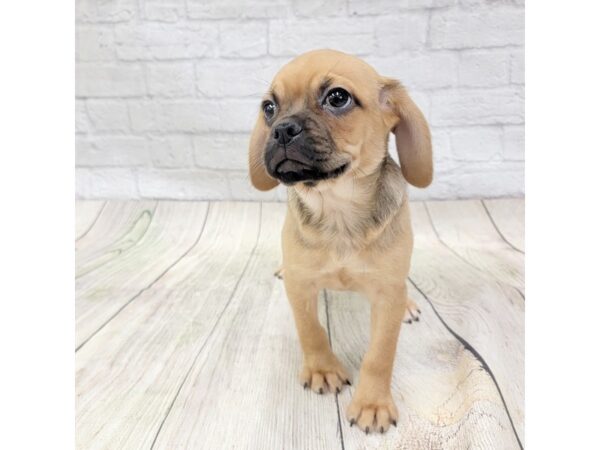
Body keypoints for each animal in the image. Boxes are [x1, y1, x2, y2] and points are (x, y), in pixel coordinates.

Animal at [247, 48, 432, 432]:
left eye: (337, 97)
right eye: (269, 107)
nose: (281, 129)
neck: (337, 209)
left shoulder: (386, 296)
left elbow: (380, 355)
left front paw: (372, 403)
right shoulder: (302, 287)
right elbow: (311, 330)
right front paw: (323, 369)